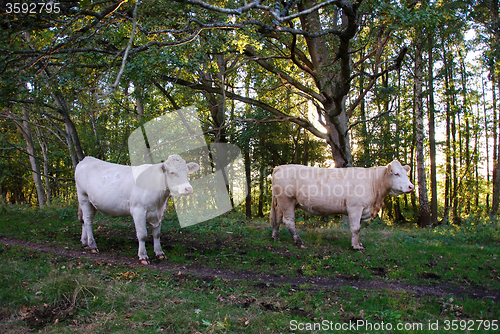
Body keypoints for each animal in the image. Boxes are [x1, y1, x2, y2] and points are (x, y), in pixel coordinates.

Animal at [270, 160, 414, 249]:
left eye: (406, 173)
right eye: (396, 173)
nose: (411, 186)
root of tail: (280, 167)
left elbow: (358, 228)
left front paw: (359, 243)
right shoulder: (355, 207)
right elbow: (355, 228)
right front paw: (356, 246)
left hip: (283, 203)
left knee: (277, 218)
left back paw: (275, 237)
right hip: (287, 200)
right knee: (288, 221)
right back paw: (299, 242)